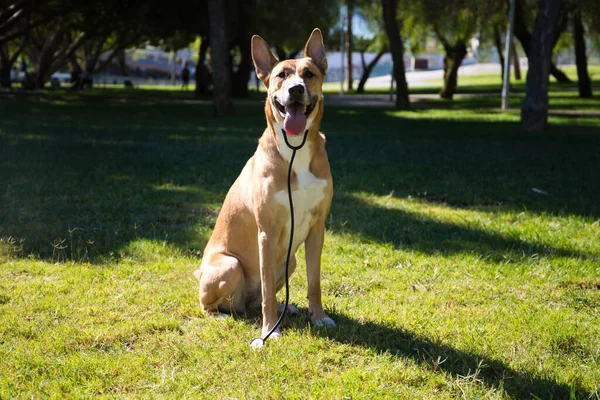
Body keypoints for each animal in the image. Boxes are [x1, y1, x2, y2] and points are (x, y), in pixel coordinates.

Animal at [192, 28, 336, 342]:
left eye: (308, 73)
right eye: (281, 75)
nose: (296, 90)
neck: (296, 151)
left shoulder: (317, 228)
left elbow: (314, 282)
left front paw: (318, 317)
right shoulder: (267, 232)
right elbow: (269, 290)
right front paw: (270, 330)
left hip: (290, 261)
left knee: (258, 298)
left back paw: (286, 306)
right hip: (230, 265)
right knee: (214, 304)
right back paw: (224, 315)